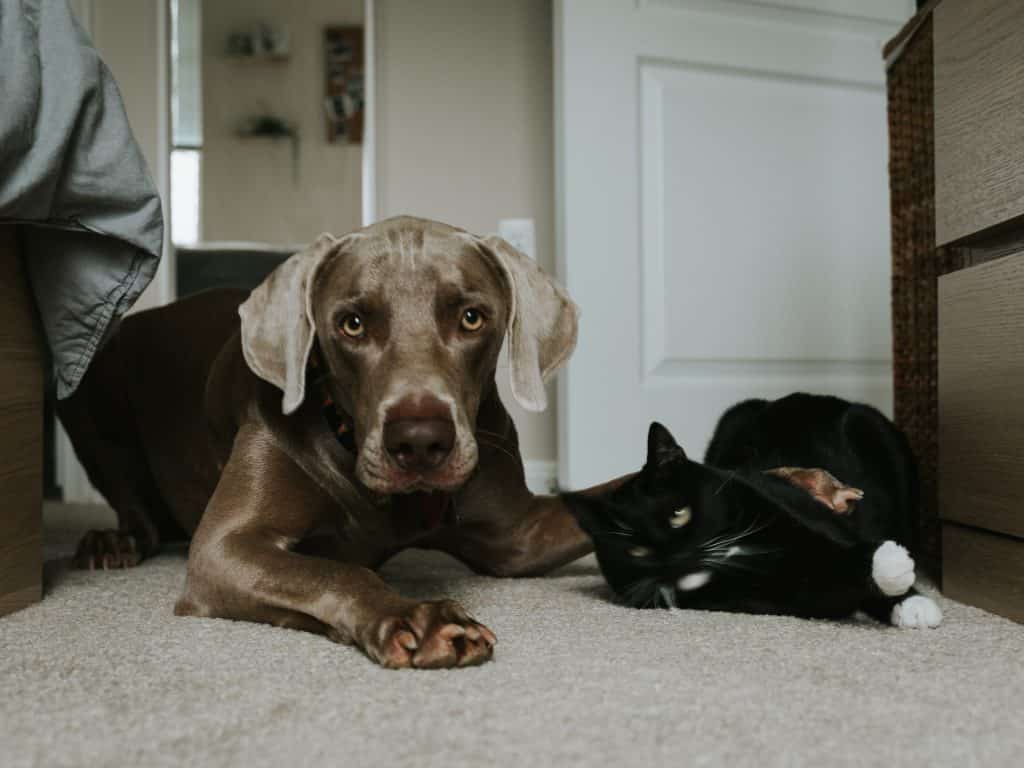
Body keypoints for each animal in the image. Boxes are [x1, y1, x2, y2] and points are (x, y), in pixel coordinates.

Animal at [61, 215, 606, 667]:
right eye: (353, 324)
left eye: (472, 317)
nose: (420, 443)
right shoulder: (224, 548)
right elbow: (338, 572)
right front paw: (416, 616)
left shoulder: (519, 534)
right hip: (90, 392)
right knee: (135, 508)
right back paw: (112, 542)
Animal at [569, 393, 942, 626]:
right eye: (637, 550)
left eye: (679, 515)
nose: (677, 559)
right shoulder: (779, 596)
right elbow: (826, 584)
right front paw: (888, 570)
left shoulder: (792, 507)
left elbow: (840, 541)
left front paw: (910, 597)